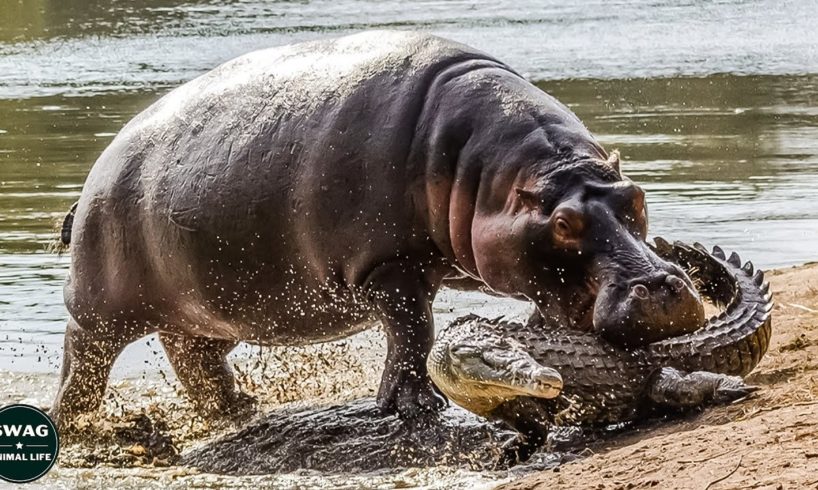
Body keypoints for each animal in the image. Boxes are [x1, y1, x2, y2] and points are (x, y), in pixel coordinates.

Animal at [53, 31, 704, 427]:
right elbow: (413, 330)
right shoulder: (389, 266)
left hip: (207, 308)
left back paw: (239, 409)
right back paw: (80, 427)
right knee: (84, 358)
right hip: (101, 307)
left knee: (194, 355)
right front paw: (415, 408)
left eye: (636, 197)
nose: (664, 288)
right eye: (565, 223)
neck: (489, 174)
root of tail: (92, 179)